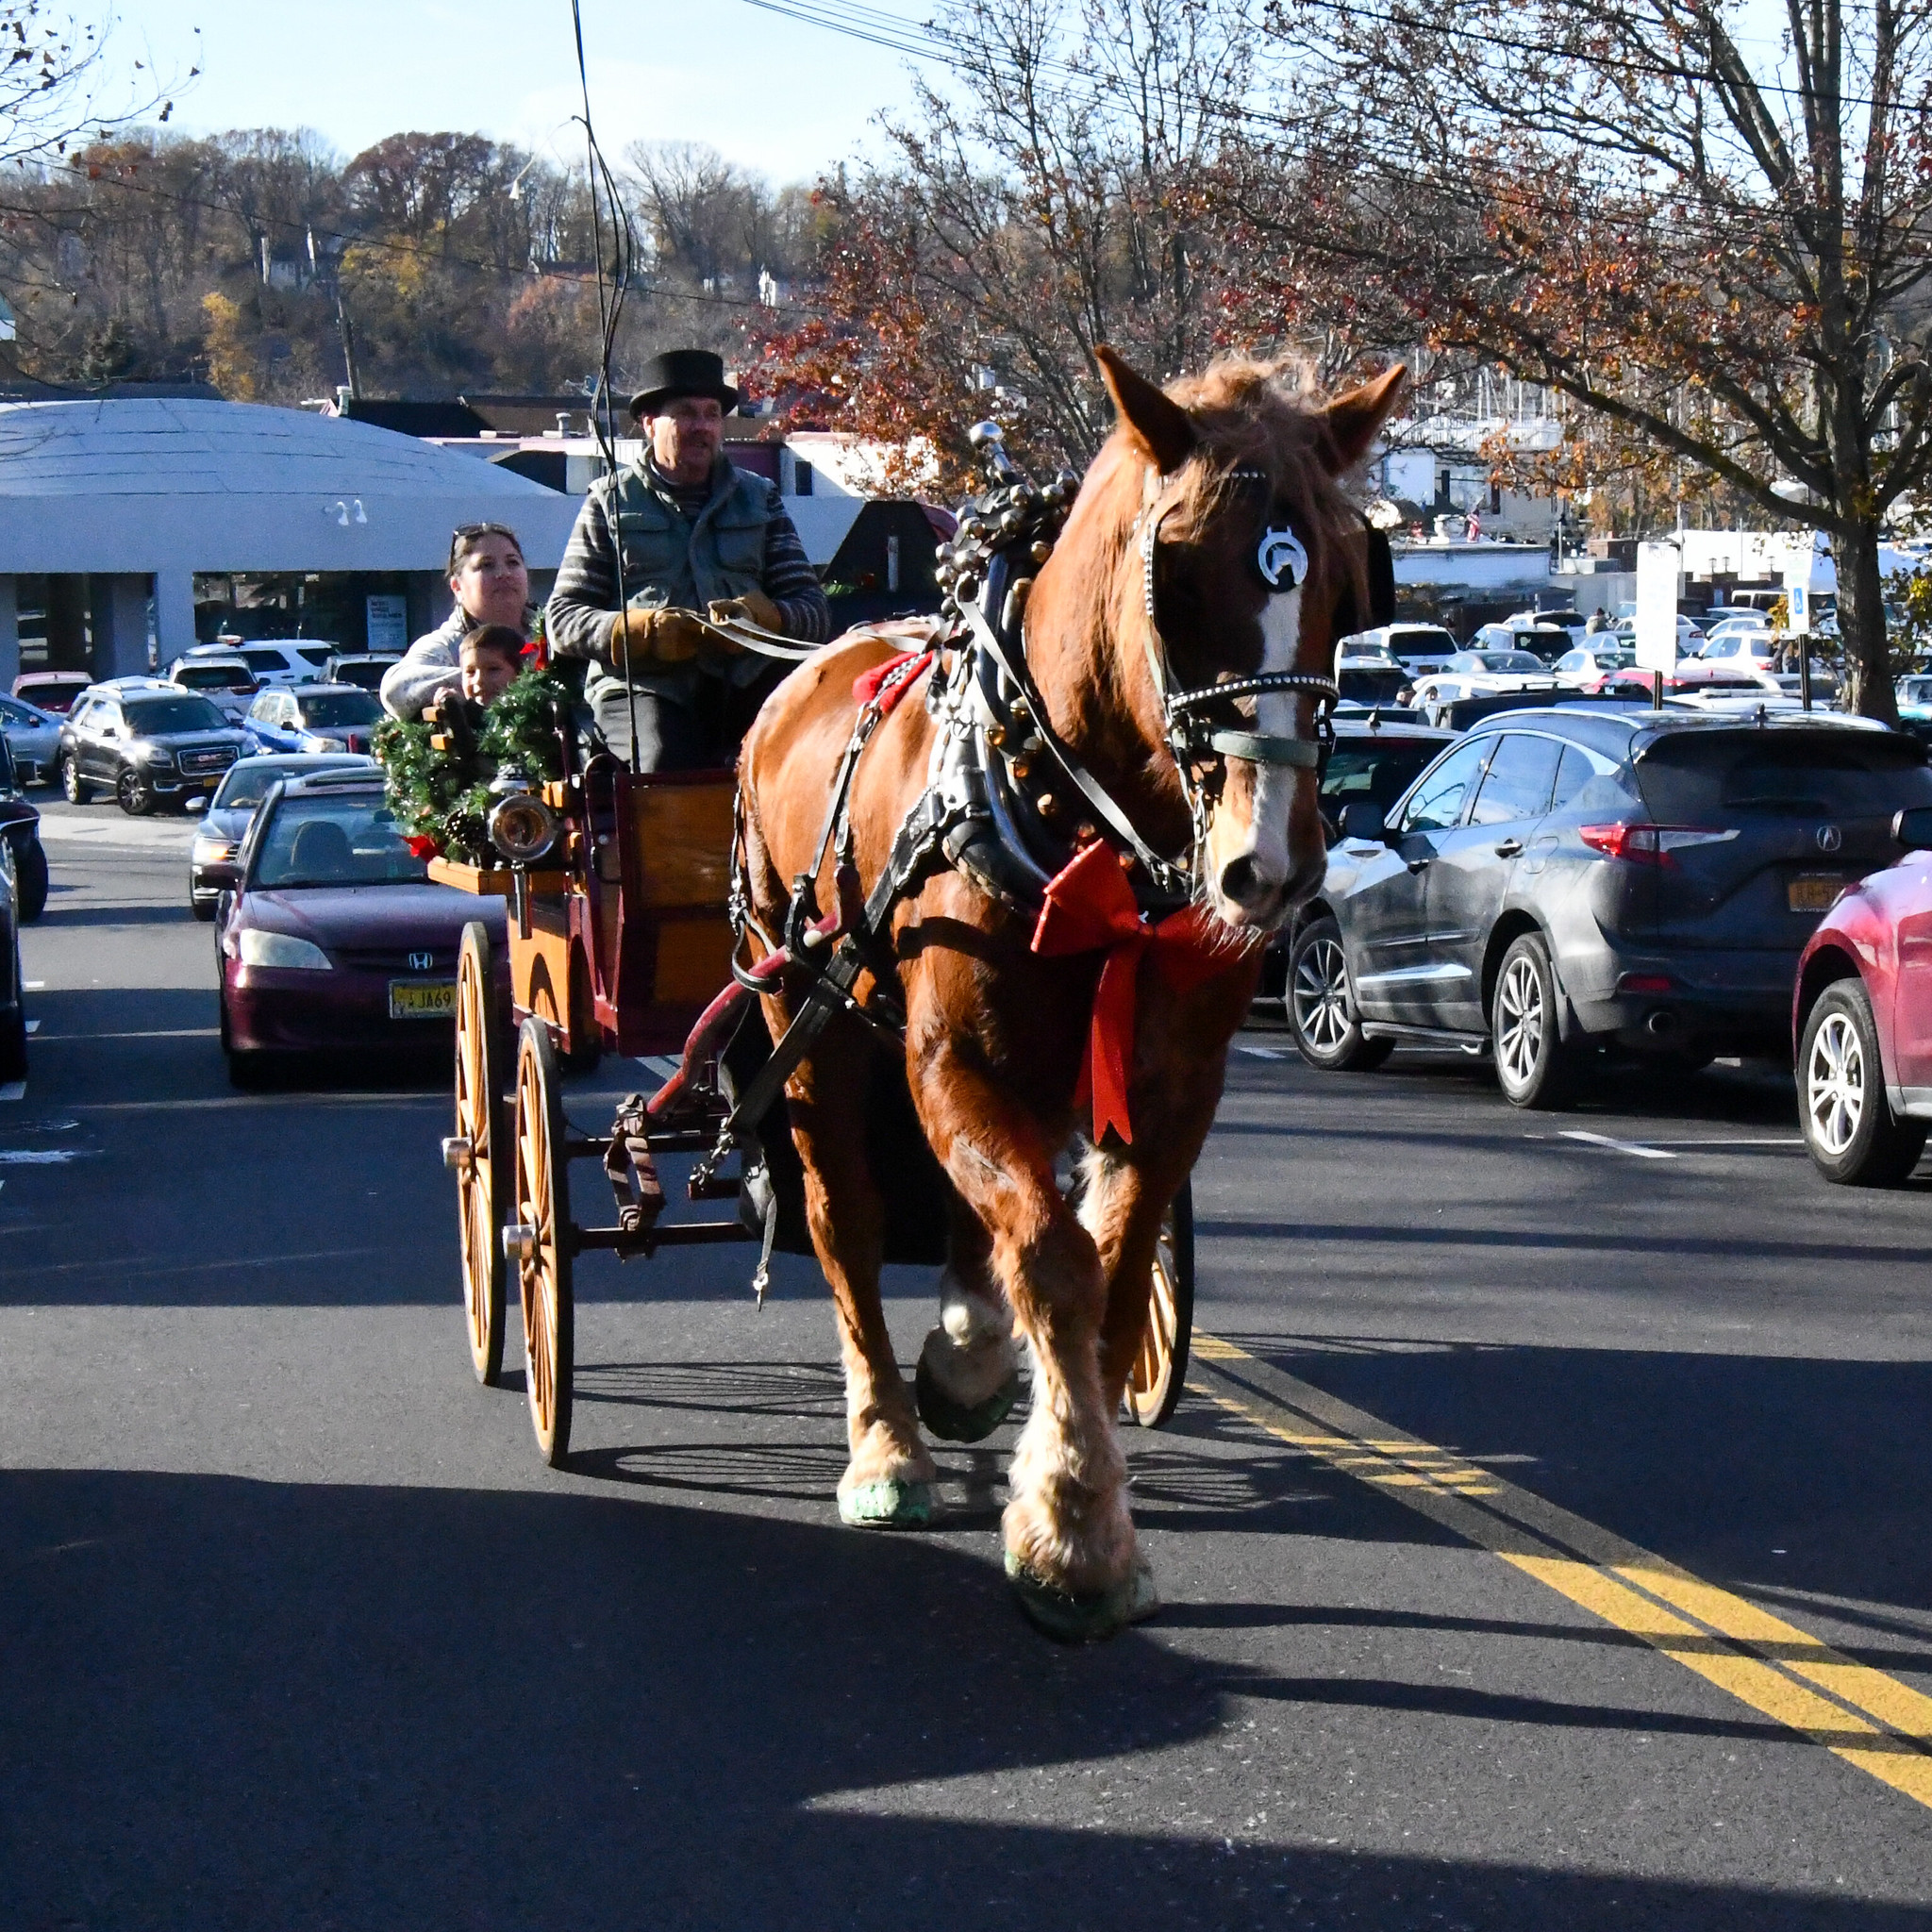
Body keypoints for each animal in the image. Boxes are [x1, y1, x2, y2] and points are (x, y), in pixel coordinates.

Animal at [738, 343, 1406, 1630]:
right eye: (1176, 579)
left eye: (1348, 587)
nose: (1270, 862)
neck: (1085, 824)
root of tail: (812, 666)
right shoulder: (950, 1055)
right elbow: (1051, 1256)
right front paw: (1074, 1528)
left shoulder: (1170, 1075)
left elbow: (1109, 1259)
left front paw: (1049, 1453)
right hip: (808, 1014)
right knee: (845, 1216)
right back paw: (886, 1443)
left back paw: (962, 1356)